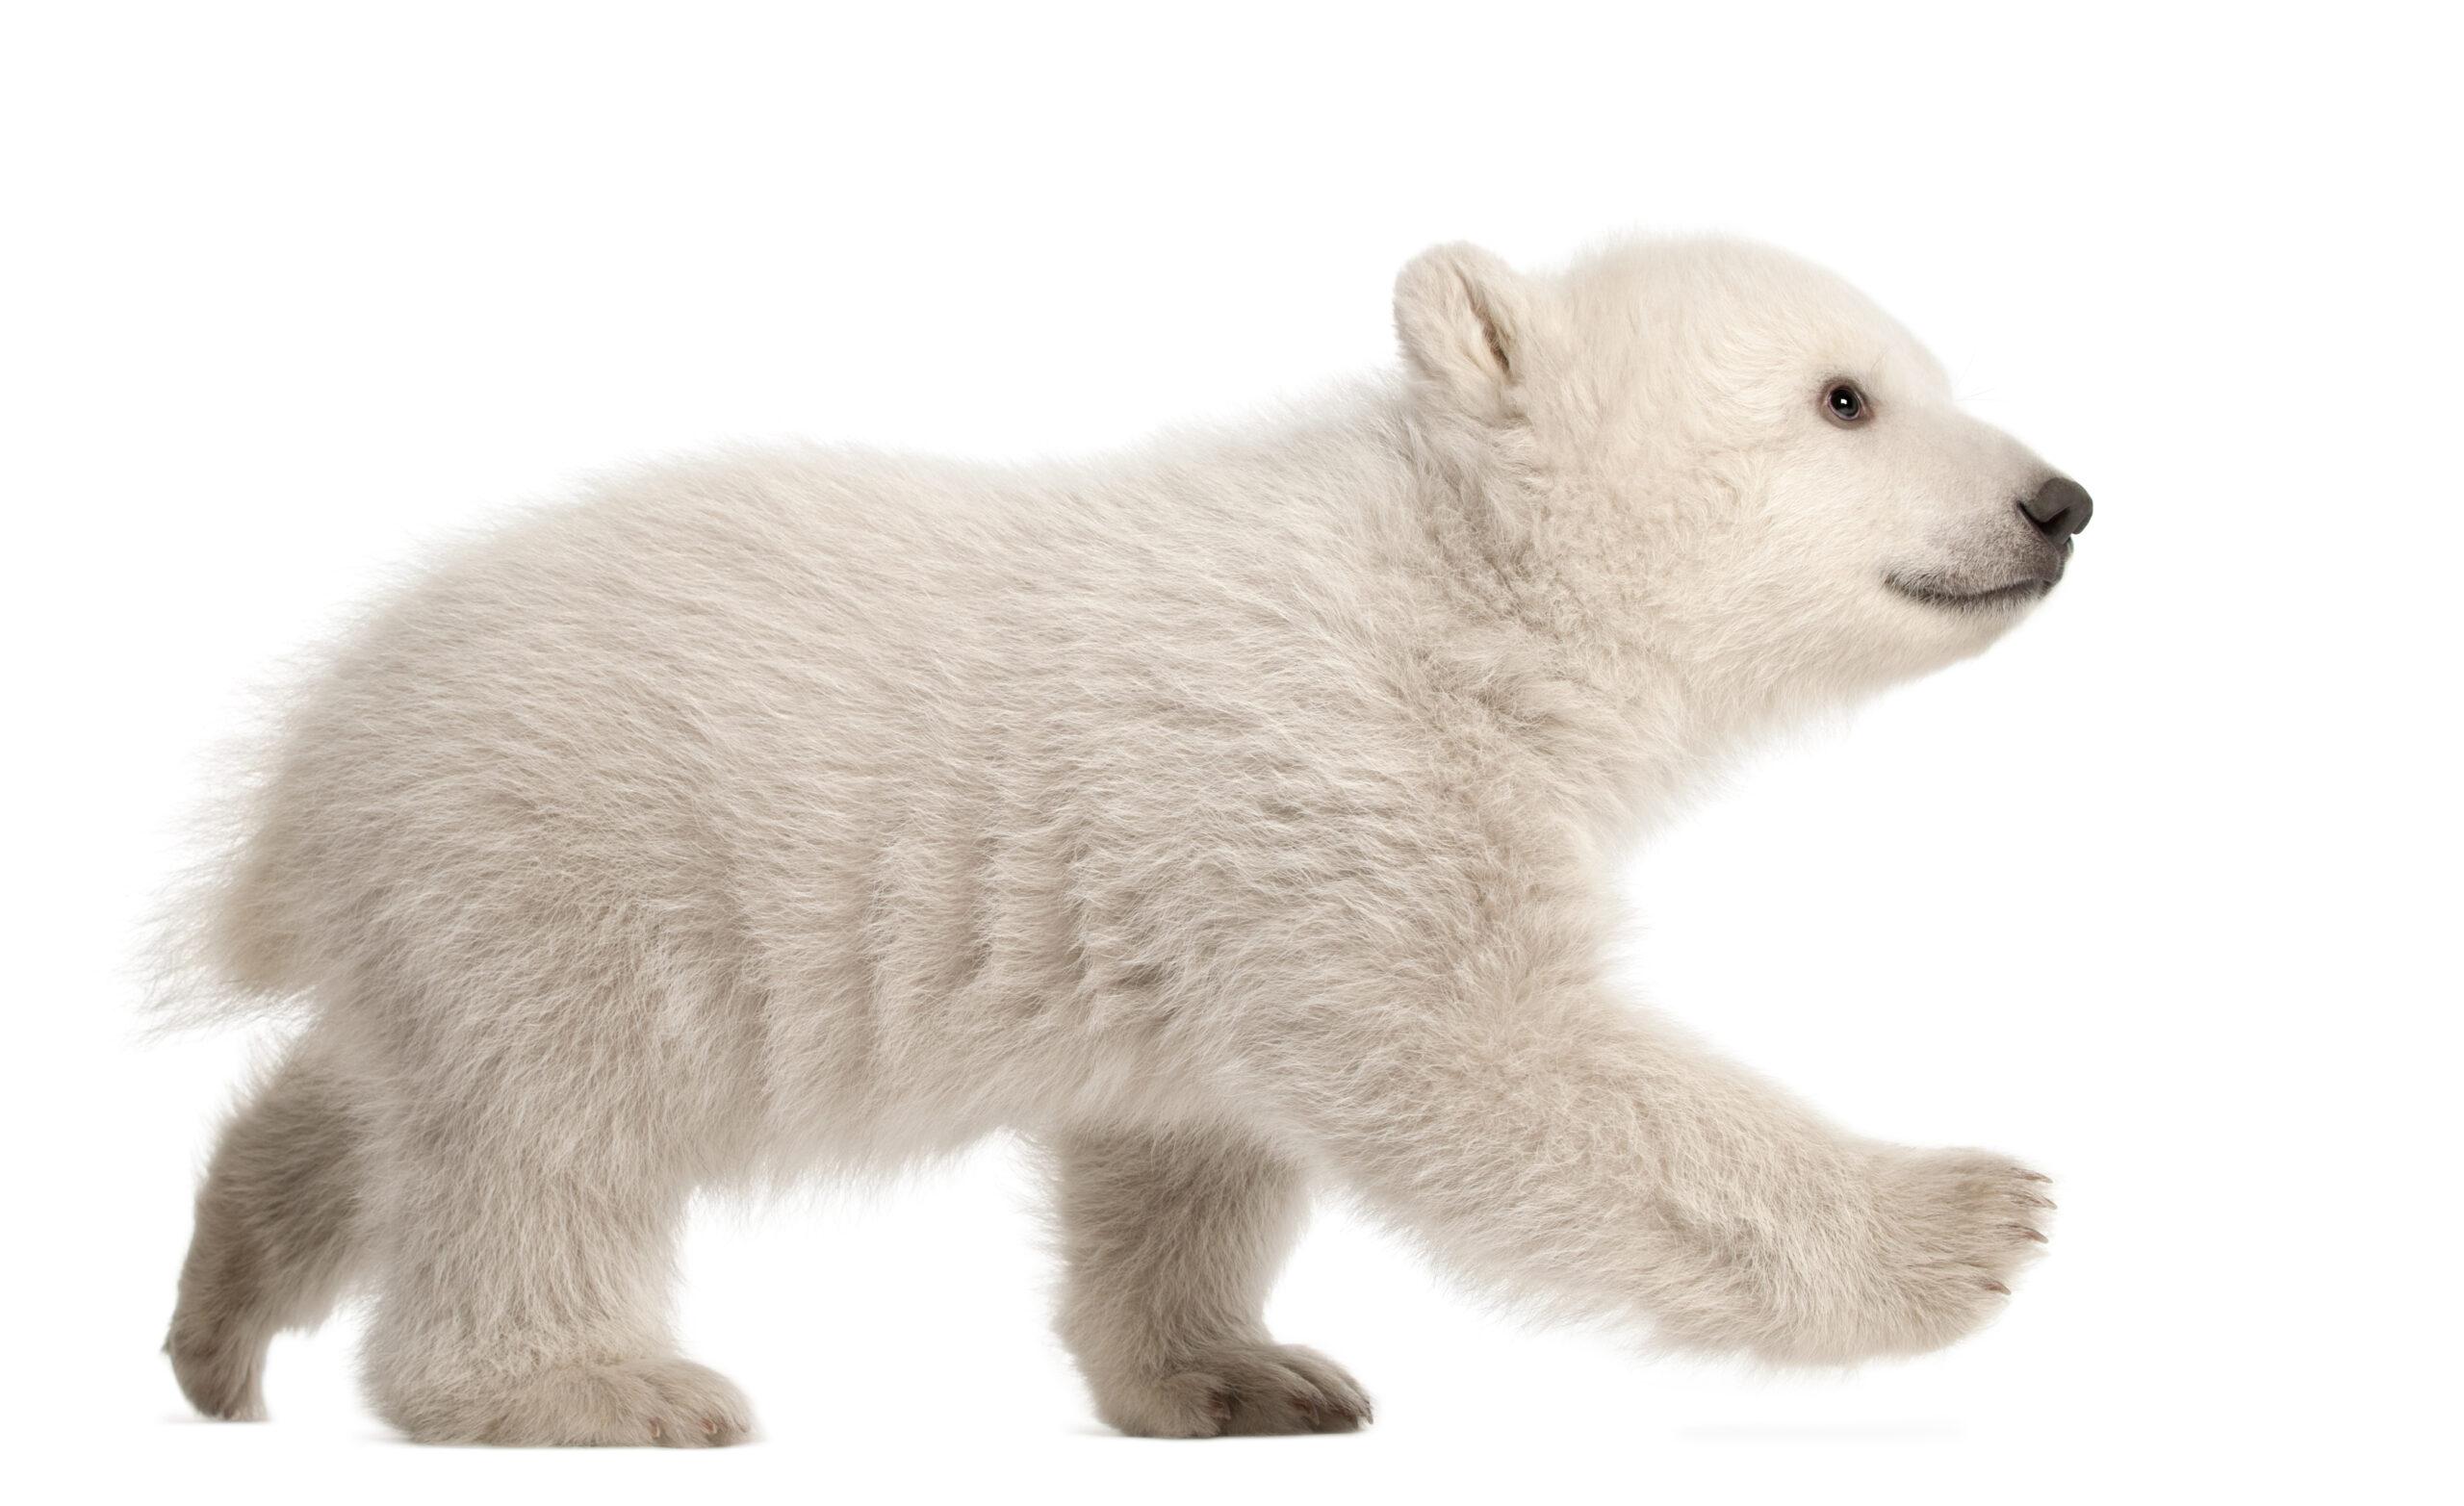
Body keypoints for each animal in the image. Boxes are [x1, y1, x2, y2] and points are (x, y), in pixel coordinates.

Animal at [160, 234, 2084, 1444]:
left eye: (1915, 372)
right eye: (1846, 398)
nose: (2059, 499)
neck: (1451, 586)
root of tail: (303, 769)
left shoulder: (1226, 865)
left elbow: (1188, 1148)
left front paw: (1245, 1377)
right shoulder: (1331, 776)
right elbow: (1487, 1063)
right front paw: (1970, 1222)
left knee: (383, 1100)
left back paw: (222, 1311)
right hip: (562, 860)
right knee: (540, 1142)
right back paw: (588, 1392)